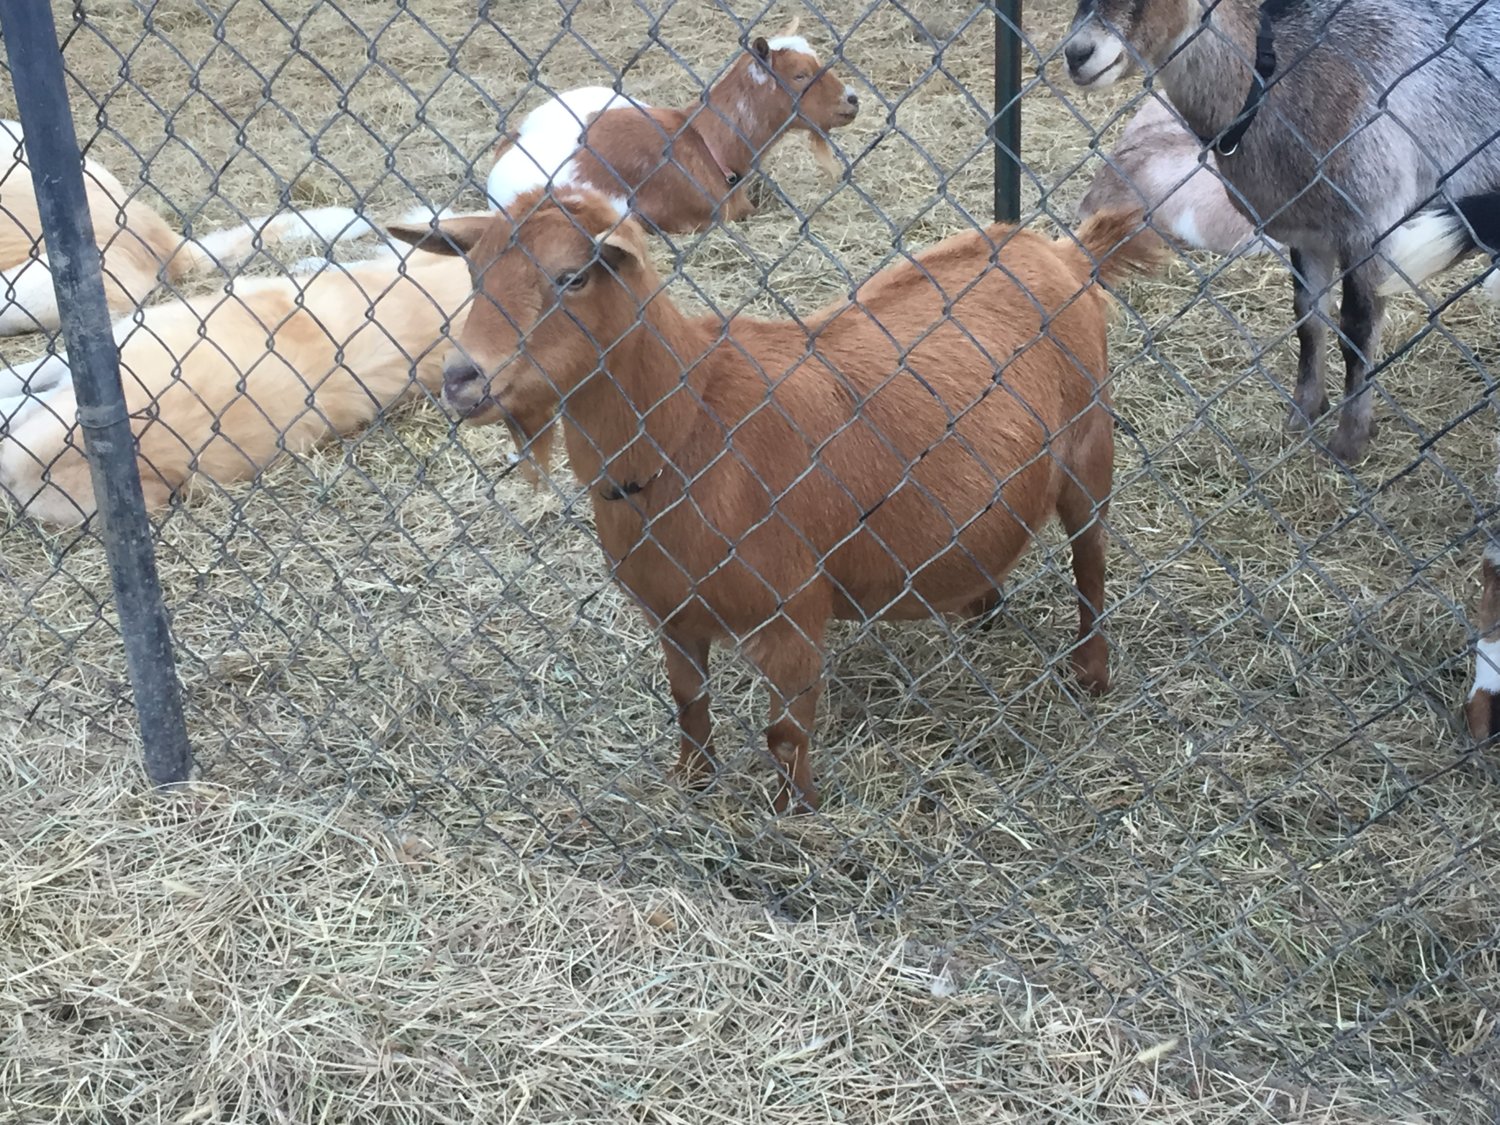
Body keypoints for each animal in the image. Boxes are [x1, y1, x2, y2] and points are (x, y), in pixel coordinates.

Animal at [387, 189, 1158, 816]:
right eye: (475, 275)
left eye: (571, 276)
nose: (461, 378)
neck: (690, 430)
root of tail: (1061, 251)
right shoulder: (671, 610)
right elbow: (689, 703)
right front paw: (693, 781)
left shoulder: (794, 609)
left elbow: (784, 730)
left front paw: (796, 812)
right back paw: (981, 606)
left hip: (1090, 445)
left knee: (1091, 563)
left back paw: (1091, 673)